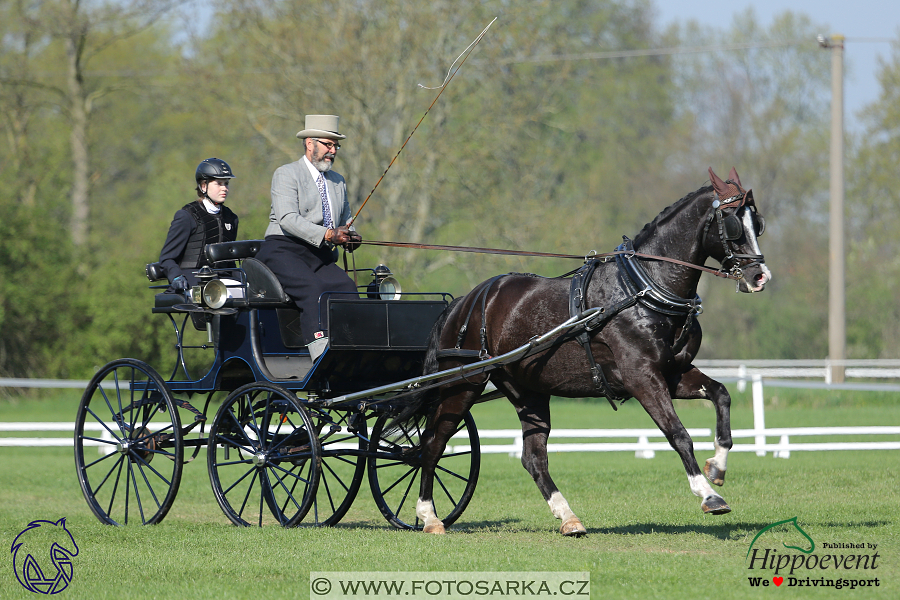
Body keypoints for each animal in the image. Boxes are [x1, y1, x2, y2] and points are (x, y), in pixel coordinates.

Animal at [404, 165, 768, 536]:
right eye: (732, 223)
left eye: (758, 223)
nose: (759, 276)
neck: (642, 288)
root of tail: (464, 302)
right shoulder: (642, 378)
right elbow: (679, 434)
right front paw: (709, 496)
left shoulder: (673, 374)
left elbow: (721, 394)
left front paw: (717, 468)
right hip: (462, 385)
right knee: (431, 445)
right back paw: (429, 516)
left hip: (528, 391)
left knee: (533, 457)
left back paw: (568, 517)